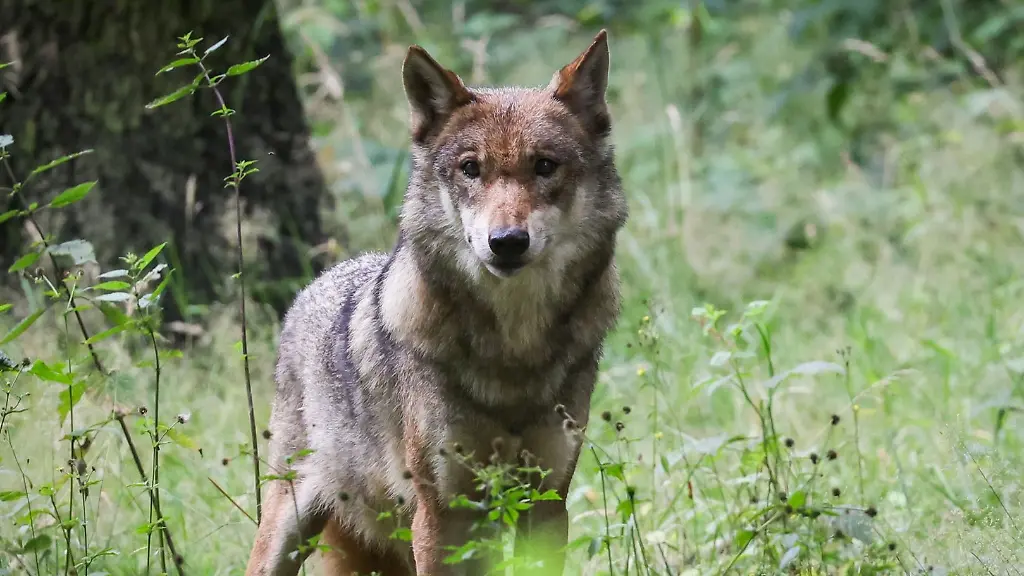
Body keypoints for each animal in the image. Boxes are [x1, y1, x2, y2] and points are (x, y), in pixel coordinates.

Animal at [244, 29, 628, 576]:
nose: (506, 242)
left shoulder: (547, 504)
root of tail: (314, 286)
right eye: (470, 169)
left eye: (544, 166)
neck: (514, 353)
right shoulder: (442, 513)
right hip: (288, 528)